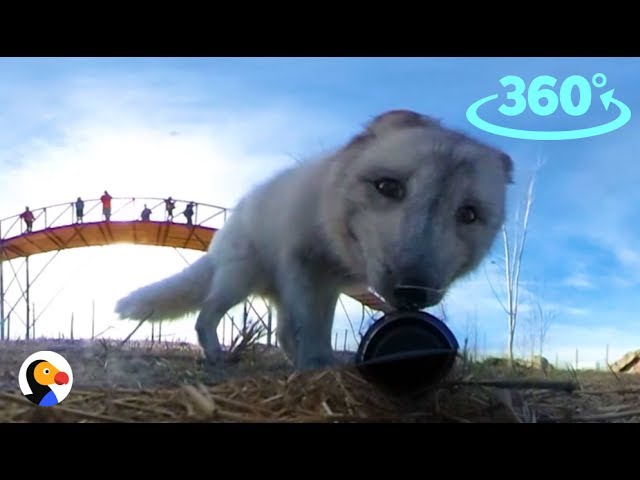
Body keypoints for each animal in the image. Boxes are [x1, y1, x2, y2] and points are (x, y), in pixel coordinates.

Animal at [114, 109, 513, 370]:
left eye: (469, 215)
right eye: (388, 187)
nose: (412, 292)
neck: (336, 244)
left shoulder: (331, 284)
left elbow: (315, 327)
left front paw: (320, 364)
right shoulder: (305, 267)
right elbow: (311, 325)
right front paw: (319, 365)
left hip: (272, 291)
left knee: (280, 333)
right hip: (238, 281)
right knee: (207, 315)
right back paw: (217, 355)